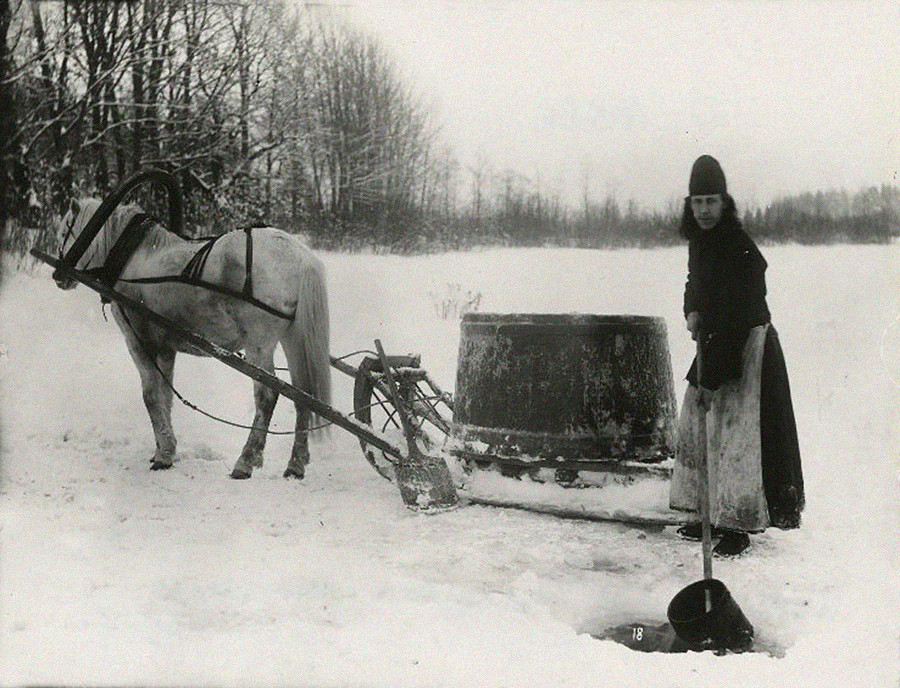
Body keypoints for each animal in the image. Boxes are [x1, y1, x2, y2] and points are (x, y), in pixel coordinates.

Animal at [56, 199, 332, 478]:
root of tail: (301, 256)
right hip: (293, 338)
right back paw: (296, 464)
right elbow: (165, 395)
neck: (132, 259)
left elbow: (151, 396)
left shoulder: (139, 340)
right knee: (303, 394)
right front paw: (164, 450)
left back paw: (246, 461)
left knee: (267, 394)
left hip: (259, 343)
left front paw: (164, 453)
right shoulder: (165, 348)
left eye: (64, 231)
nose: (59, 276)